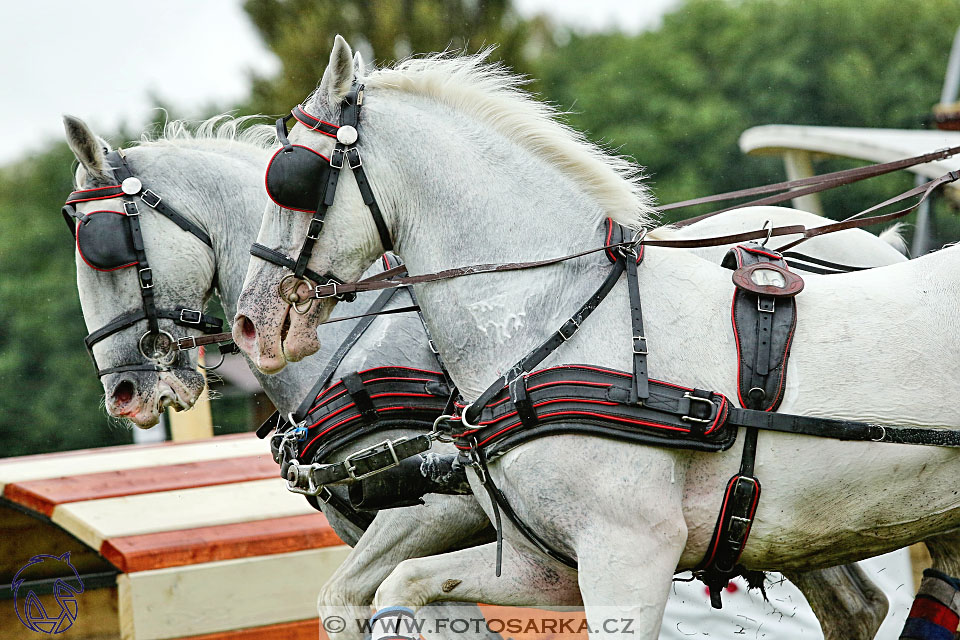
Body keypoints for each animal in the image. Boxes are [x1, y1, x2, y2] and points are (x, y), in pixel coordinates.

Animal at [232, 37, 960, 636]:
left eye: (289, 175)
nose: (252, 323)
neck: (564, 320)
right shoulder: (546, 562)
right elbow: (401, 585)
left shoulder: (628, 553)